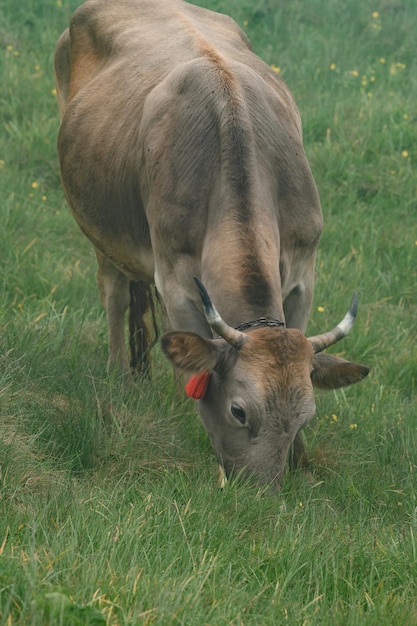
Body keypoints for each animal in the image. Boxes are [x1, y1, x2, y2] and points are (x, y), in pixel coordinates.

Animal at [54, 0, 368, 488]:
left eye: (306, 416)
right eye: (239, 411)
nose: (260, 493)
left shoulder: (303, 269)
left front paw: (301, 460)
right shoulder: (176, 278)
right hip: (99, 227)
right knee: (115, 294)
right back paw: (119, 375)